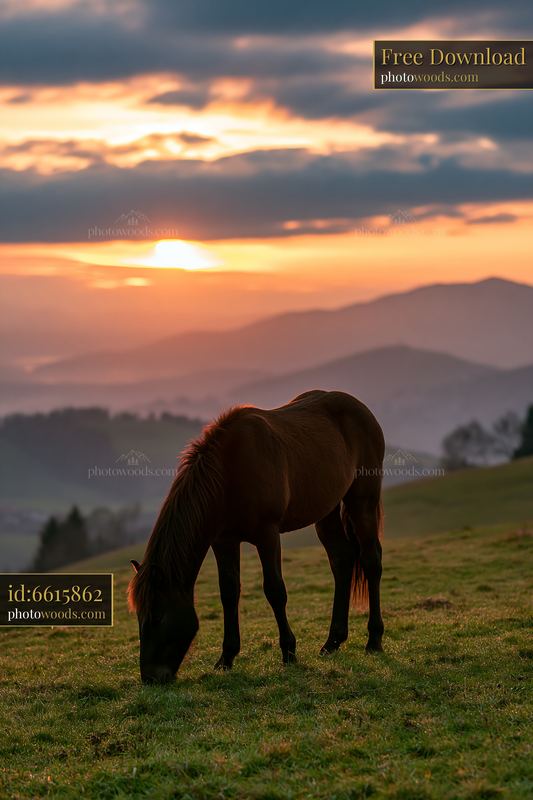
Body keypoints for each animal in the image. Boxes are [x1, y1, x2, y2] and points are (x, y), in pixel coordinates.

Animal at [128, 389, 385, 684]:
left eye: (157, 617)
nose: (150, 677)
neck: (230, 471)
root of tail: (360, 408)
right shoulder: (224, 541)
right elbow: (229, 593)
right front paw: (226, 658)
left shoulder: (267, 535)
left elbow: (275, 590)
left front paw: (289, 652)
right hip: (327, 511)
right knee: (342, 560)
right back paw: (332, 642)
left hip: (362, 500)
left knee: (371, 561)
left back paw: (374, 640)